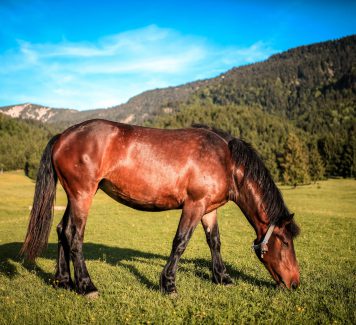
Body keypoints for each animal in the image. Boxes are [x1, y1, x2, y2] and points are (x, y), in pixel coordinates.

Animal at [20, 119, 300, 296]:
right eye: (286, 243)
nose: (295, 283)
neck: (225, 159)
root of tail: (63, 136)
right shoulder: (194, 205)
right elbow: (180, 242)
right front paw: (169, 284)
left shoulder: (209, 209)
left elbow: (215, 242)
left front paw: (222, 278)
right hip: (82, 195)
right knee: (74, 236)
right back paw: (87, 286)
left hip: (76, 196)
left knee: (61, 230)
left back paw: (64, 280)